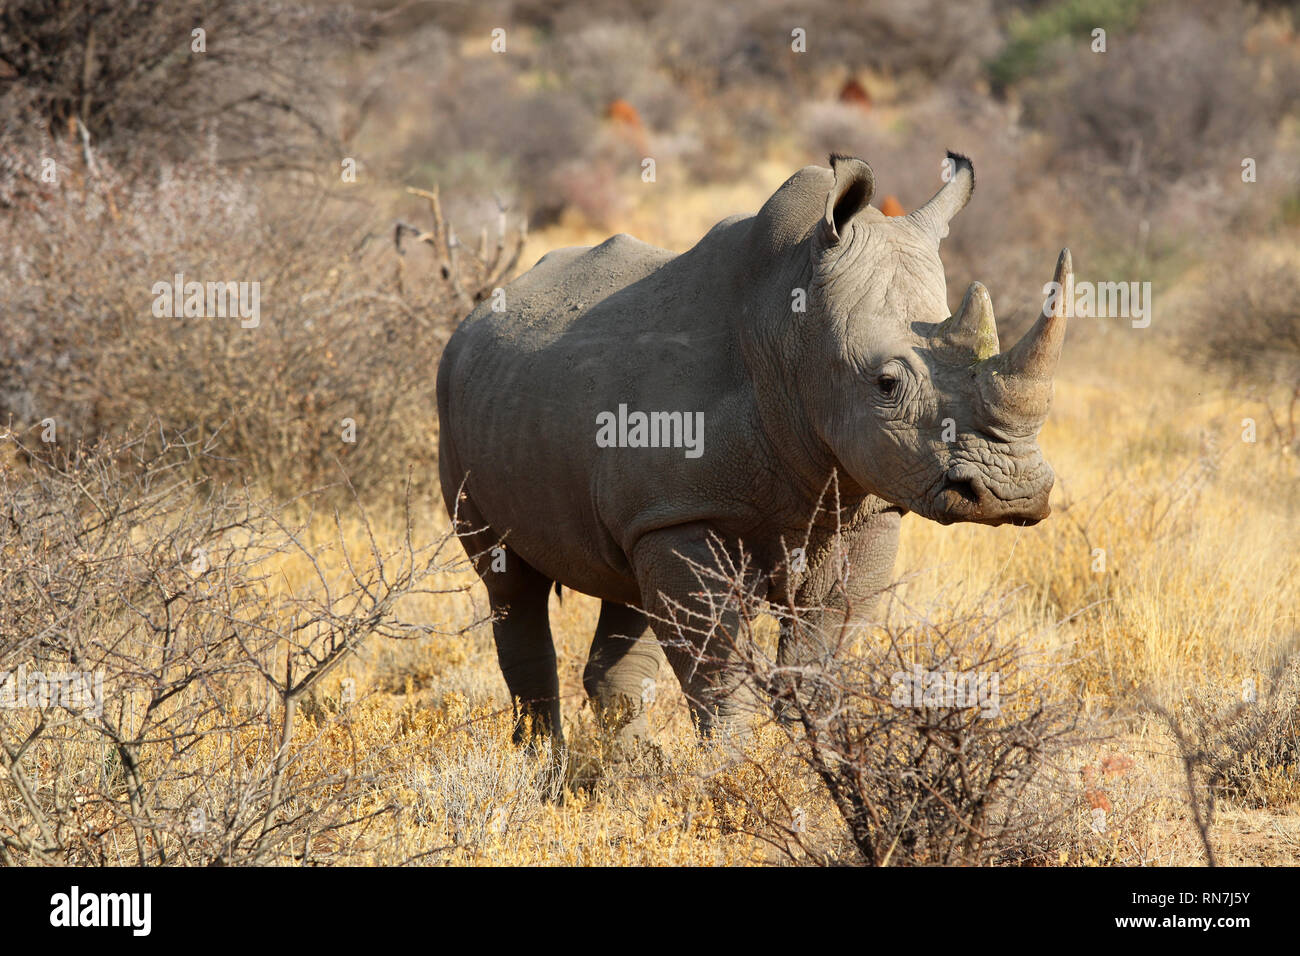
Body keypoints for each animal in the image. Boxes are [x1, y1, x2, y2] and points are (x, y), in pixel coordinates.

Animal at [437, 152, 1071, 745]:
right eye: (887, 384)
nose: (1011, 493)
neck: (791, 332)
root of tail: (474, 315)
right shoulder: (685, 514)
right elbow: (718, 675)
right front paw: (733, 768)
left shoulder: (862, 509)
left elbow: (817, 663)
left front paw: (812, 765)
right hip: (453, 401)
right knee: (509, 583)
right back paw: (546, 766)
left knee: (624, 586)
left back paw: (627, 768)